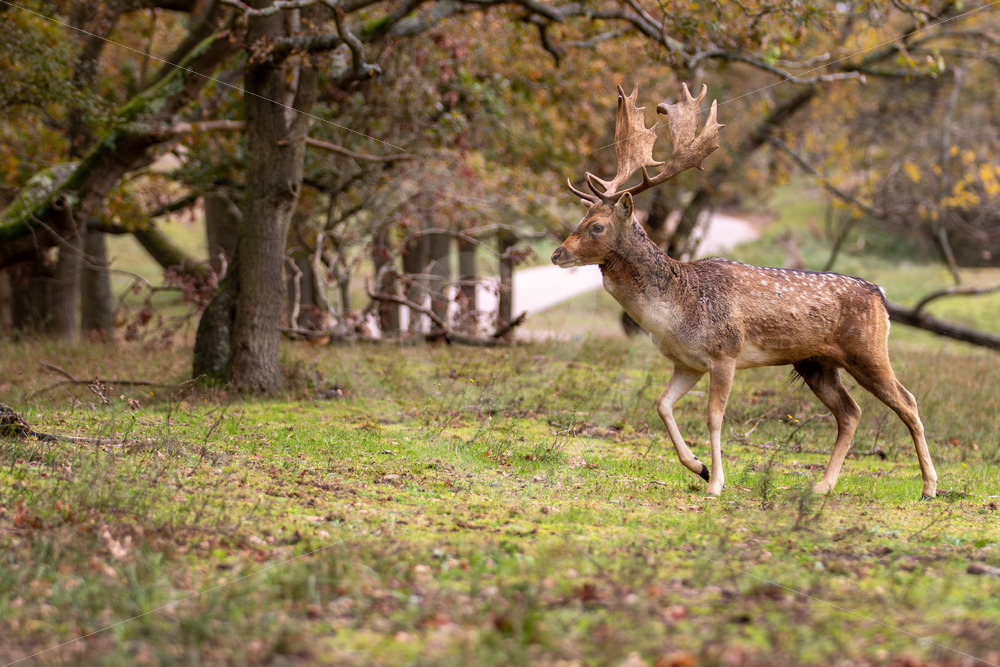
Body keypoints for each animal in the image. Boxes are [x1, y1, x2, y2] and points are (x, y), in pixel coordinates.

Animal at [550, 83, 938, 499]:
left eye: (597, 227)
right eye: (581, 218)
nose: (557, 254)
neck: (673, 311)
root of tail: (880, 295)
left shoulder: (725, 353)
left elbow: (713, 416)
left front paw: (716, 483)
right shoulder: (687, 362)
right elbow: (662, 404)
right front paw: (698, 467)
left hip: (868, 350)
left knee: (907, 401)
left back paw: (929, 486)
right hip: (815, 362)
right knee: (851, 411)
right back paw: (822, 485)